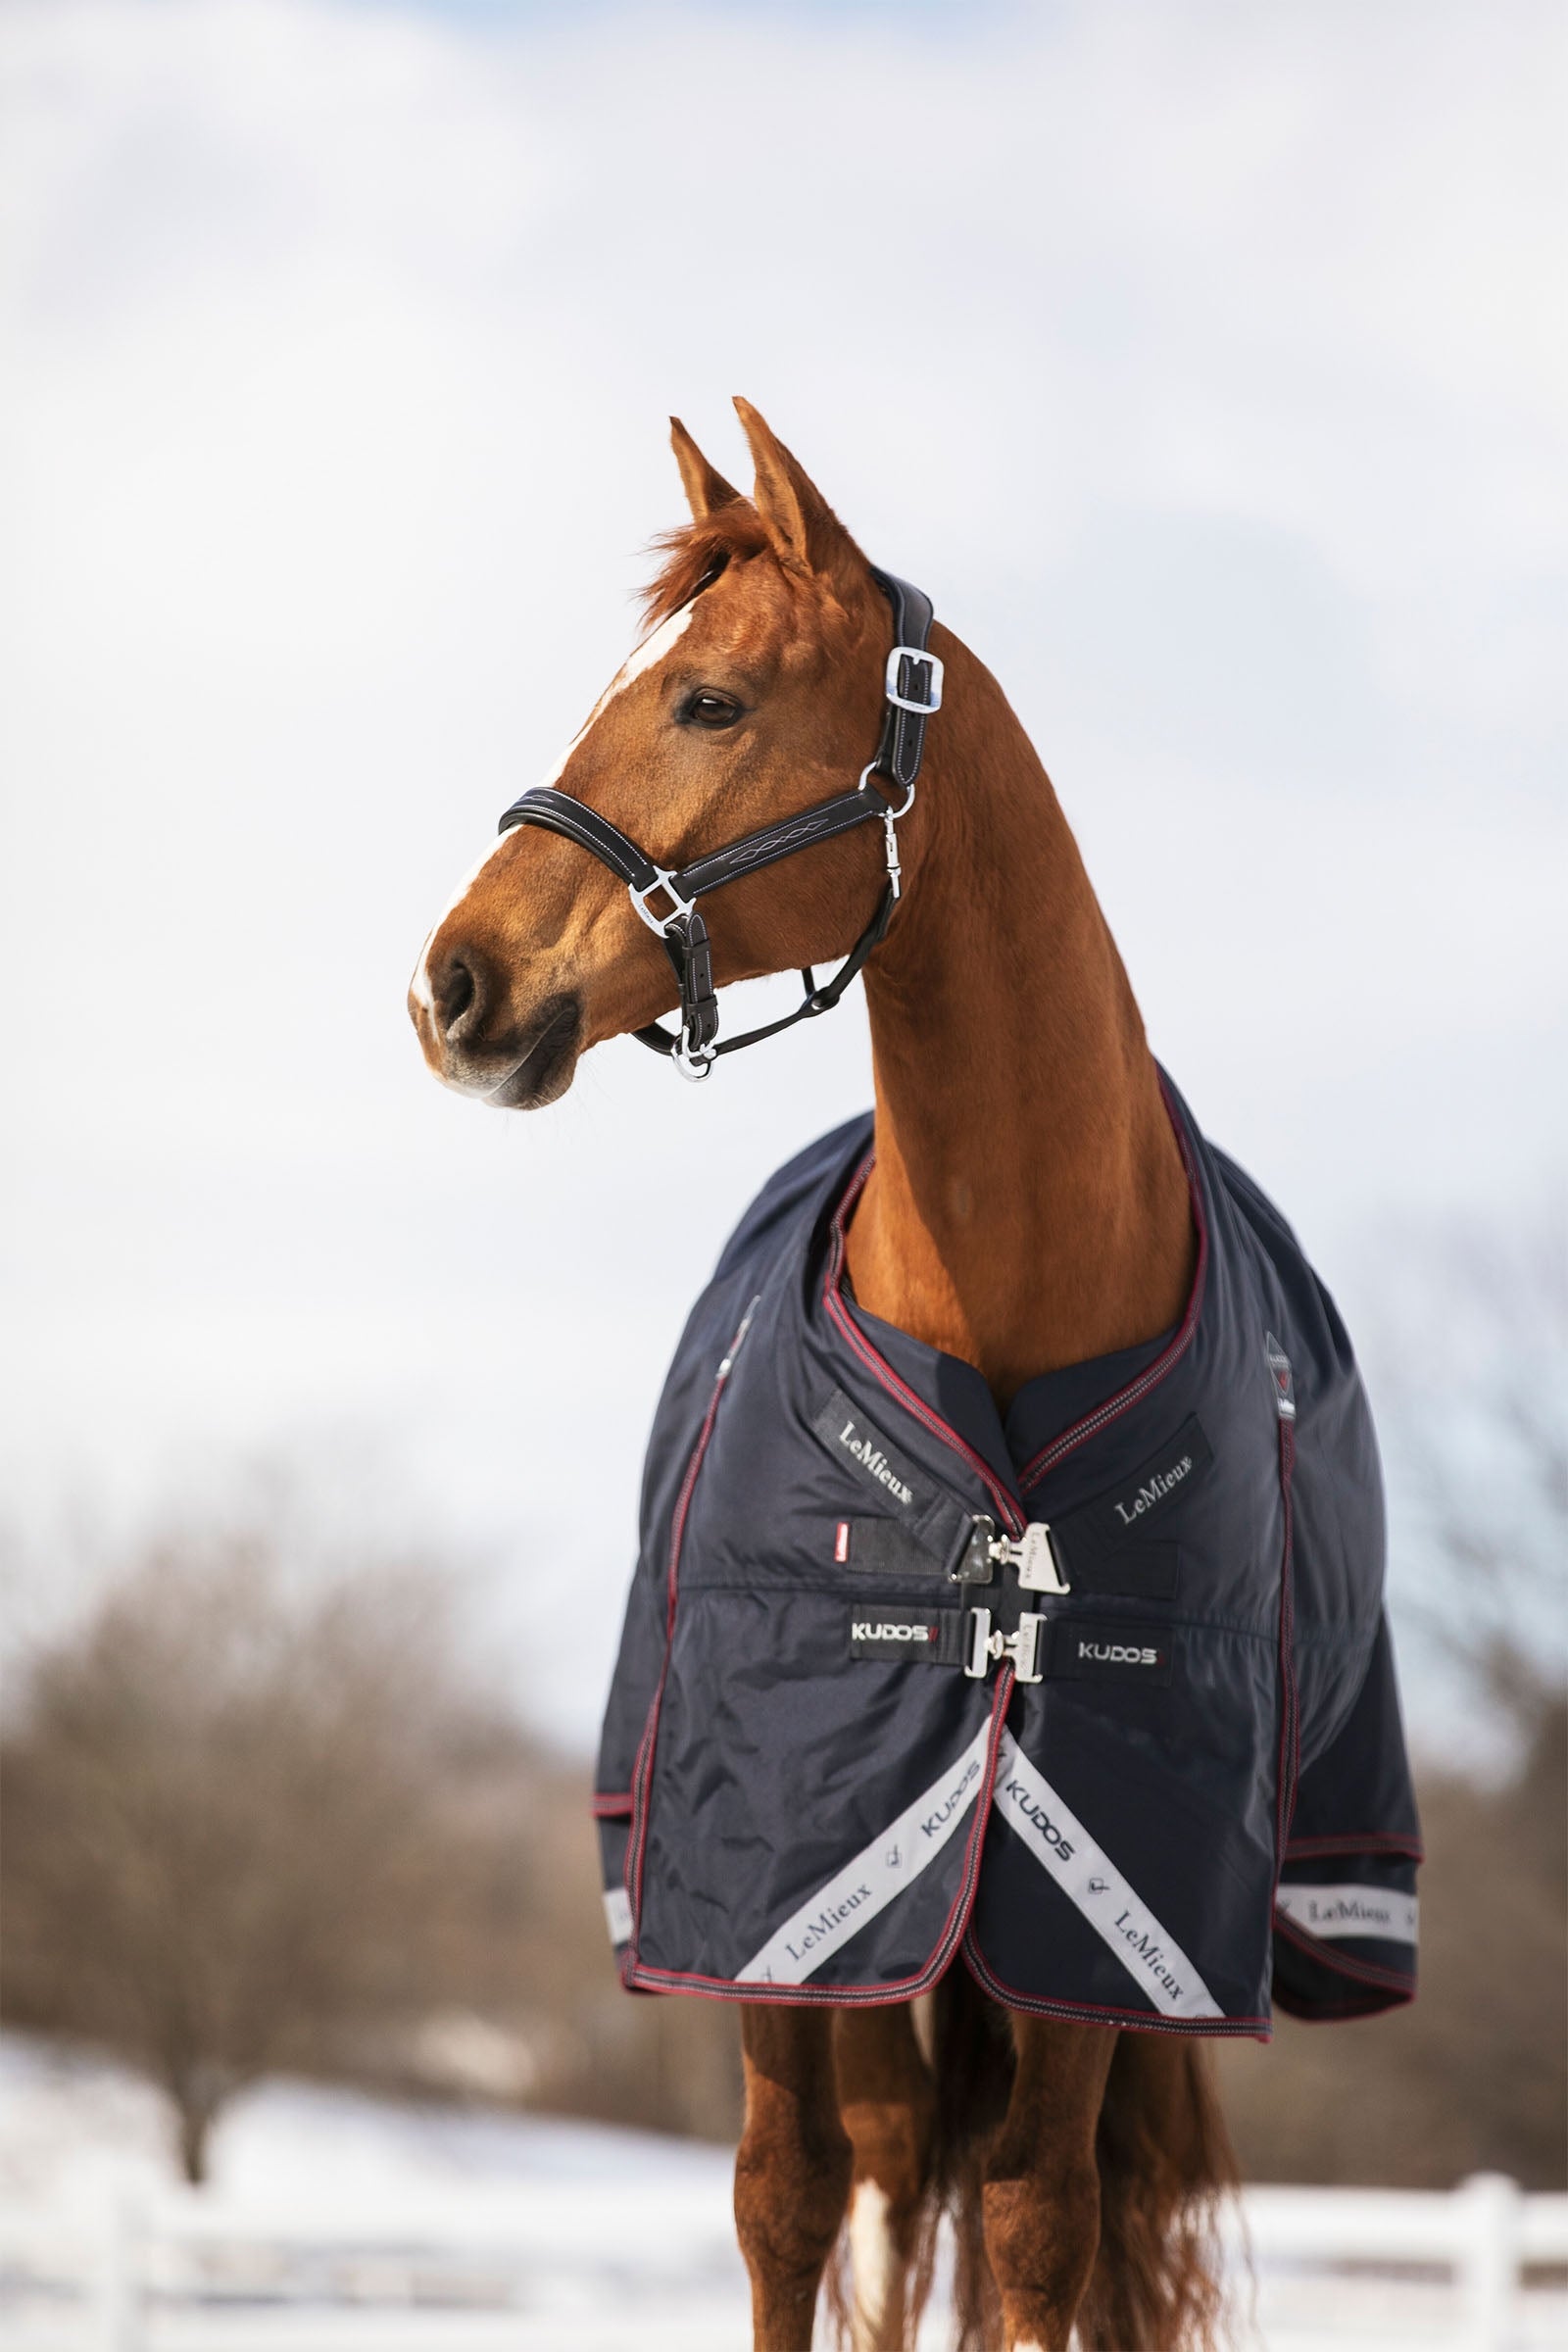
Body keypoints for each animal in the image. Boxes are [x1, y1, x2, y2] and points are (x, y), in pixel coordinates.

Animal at [409, 400, 1239, 2351]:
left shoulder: (1103, 1927)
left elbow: (1037, 2224)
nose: (451, 986)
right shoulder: (774, 1880)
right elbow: (795, 2206)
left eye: (708, 700)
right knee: (824, 2188)